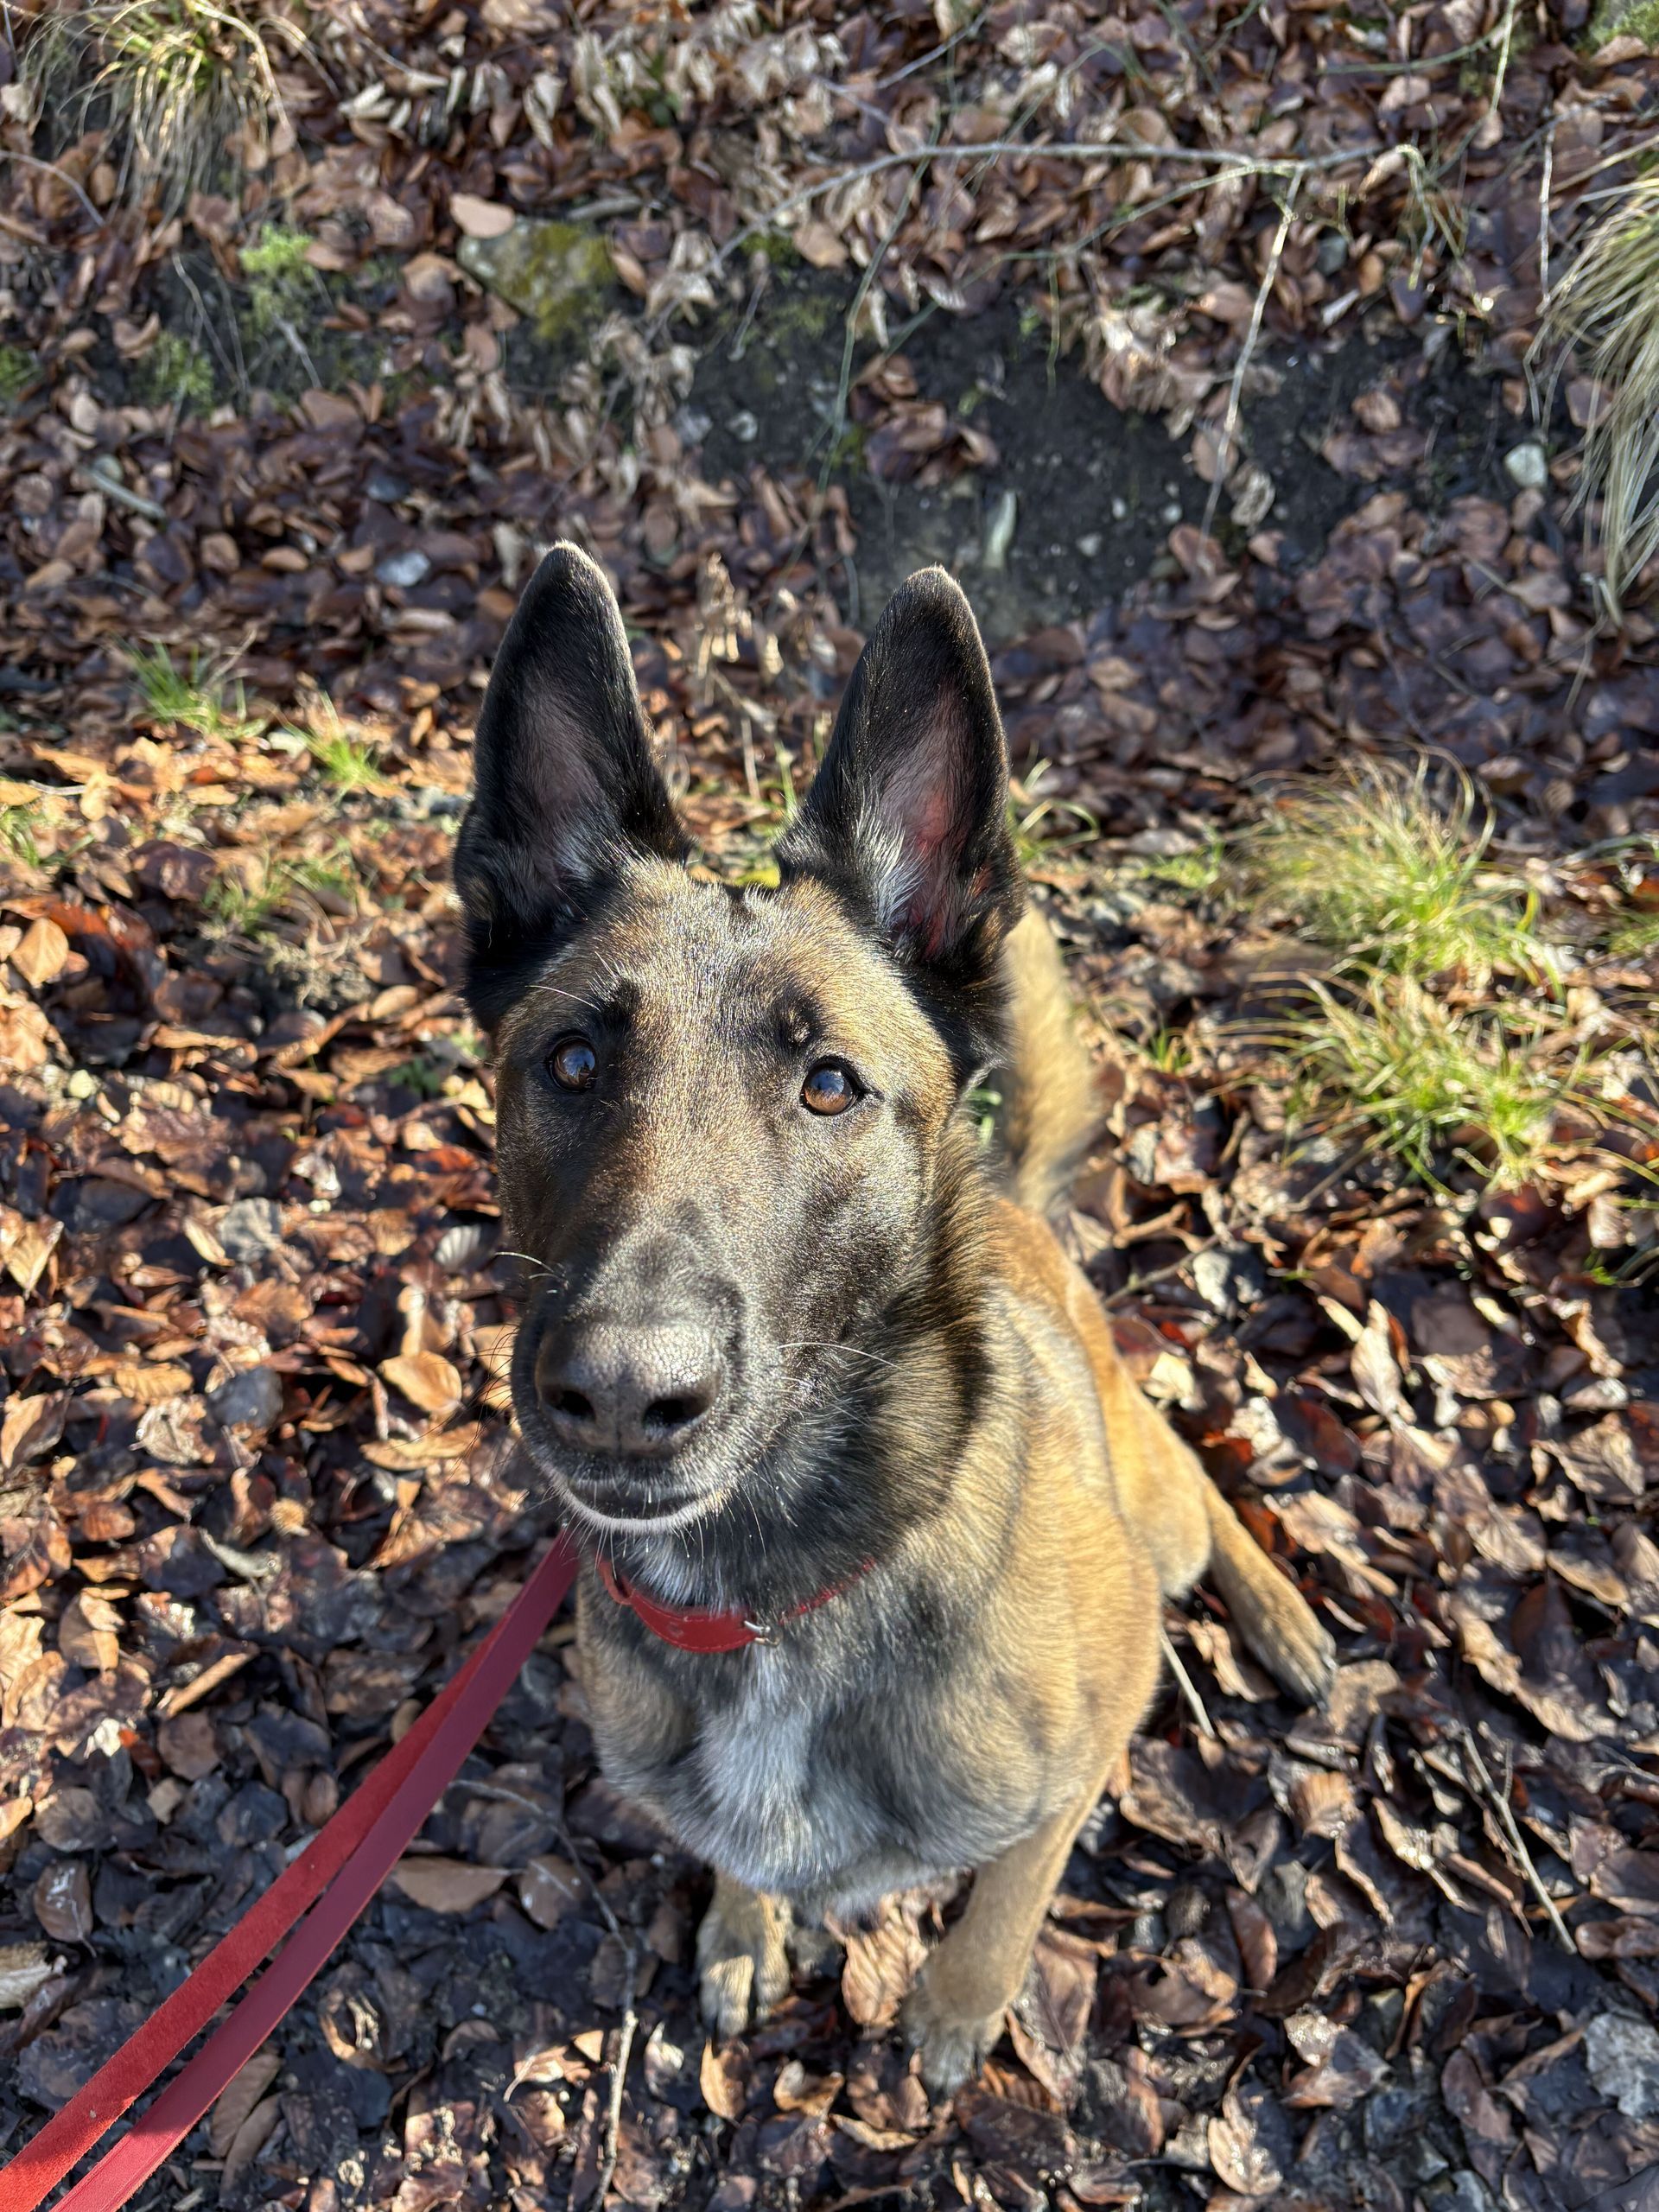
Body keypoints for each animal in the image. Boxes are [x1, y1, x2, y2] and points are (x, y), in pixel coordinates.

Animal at [454, 544, 1335, 2095]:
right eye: (570, 1062)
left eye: (829, 1086)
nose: (621, 1391)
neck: (775, 1594)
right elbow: (744, 1860)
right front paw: (745, 1927)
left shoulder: (1080, 1756)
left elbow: (1006, 1903)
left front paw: (957, 2008)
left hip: (1158, 1521)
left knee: (1198, 1482)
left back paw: (1280, 1614)